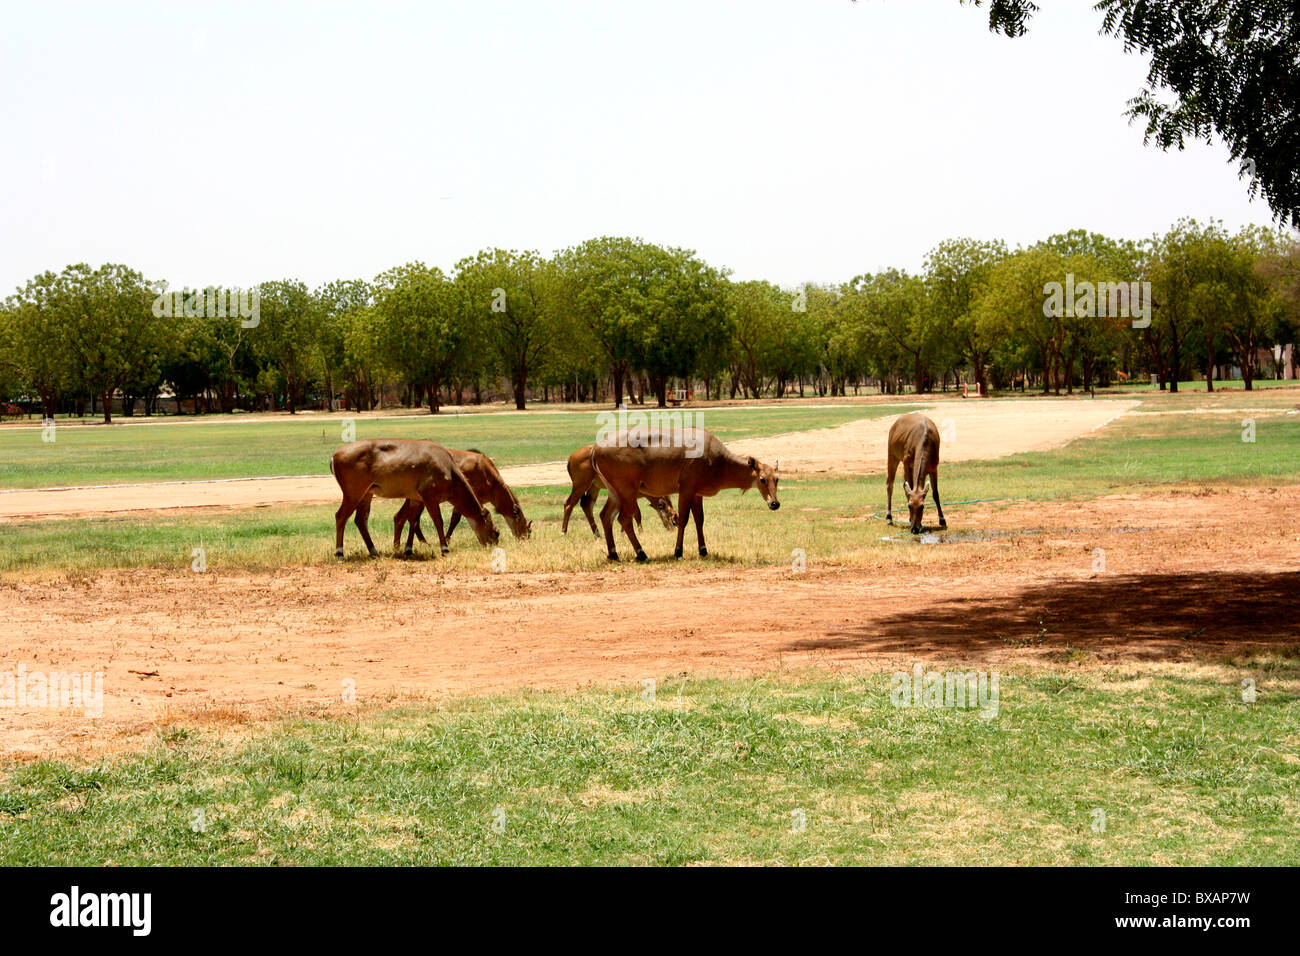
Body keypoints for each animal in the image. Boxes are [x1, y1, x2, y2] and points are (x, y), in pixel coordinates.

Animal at [330, 437, 496, 556]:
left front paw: (408, 549)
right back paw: (340, 553)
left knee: (360, 520)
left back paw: (373, 551)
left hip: (366, 495)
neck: (447, 467)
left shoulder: (416, 499)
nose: (493, 545)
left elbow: (413, 521)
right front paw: (444, 549)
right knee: (341, 516)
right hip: (353, 494)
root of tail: (334, 456)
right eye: (496, 532)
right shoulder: (430, 498)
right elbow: (438, 521)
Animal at [390, 447, 527, 554]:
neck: (488, 476)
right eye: (527, 528)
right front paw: (447, 540)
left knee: (403, 517)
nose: (525, 540)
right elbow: (455, 520)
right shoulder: (463, 499)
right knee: (405, 517)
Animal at [592, 426, 780, 561]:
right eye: (762, 479)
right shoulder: (686, 488)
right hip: (628, 490)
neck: (719, 461)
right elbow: (683, 519)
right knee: (624, 519)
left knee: (605, 516)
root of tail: (595, 448)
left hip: (614, 492)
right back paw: (642, 554)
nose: (774, 503)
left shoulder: (697, 493)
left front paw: (703, 550)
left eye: (777, 478)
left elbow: (699, 519)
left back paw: (614, 554)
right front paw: (678, 552)